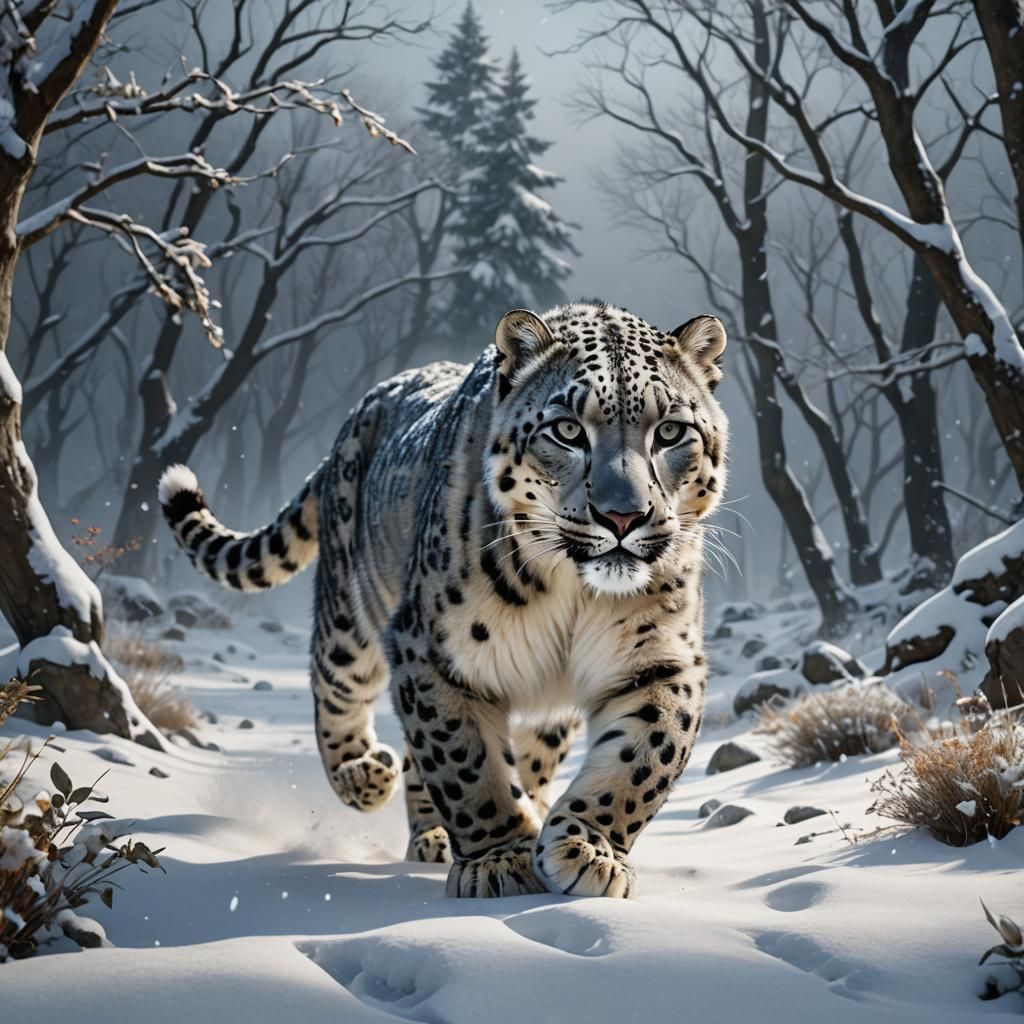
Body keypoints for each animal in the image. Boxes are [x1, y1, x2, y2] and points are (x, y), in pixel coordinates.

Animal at [159, 301, 729, 898]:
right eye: (568, 430)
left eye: (671, 431)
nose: (623, 517)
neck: (575, 592)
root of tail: (361, 409)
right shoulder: (434, 651)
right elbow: (465, 761)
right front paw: (500, 859)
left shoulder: (662, 660)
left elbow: (642, 758)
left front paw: (588, 851)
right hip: (351, 614)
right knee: (337, 688)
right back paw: (366, 775)